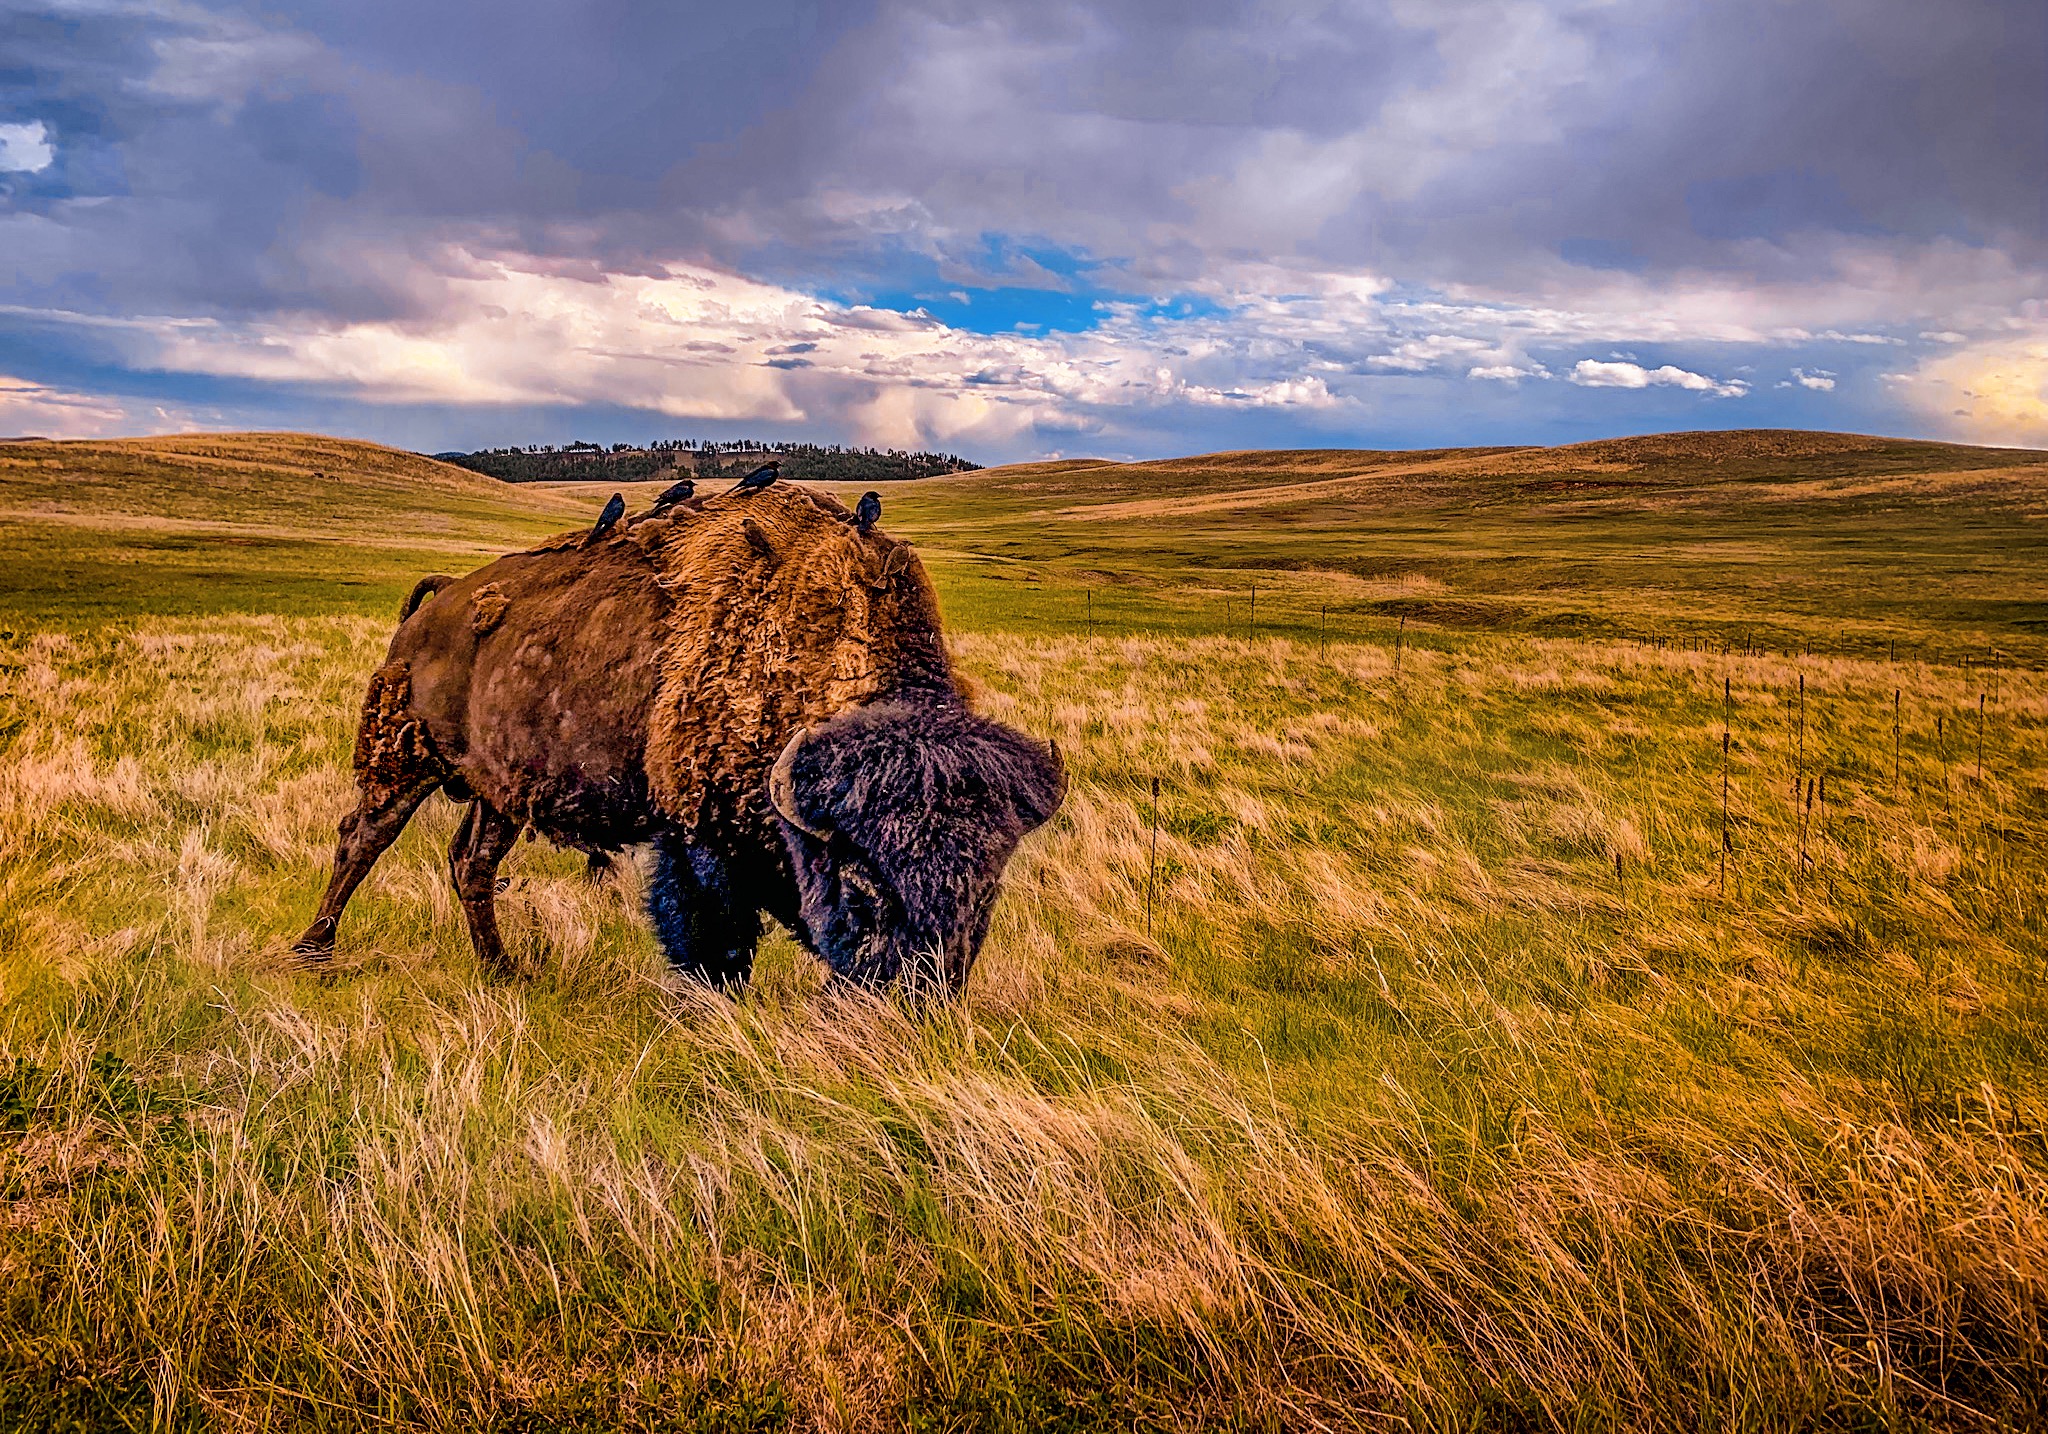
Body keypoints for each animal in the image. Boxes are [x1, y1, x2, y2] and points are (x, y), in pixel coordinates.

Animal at [293, 485, 1065, 992]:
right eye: (861, 880)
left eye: (988, 885)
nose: (921, 993)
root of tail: (438, 602)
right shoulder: (698, 837)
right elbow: (714, 937)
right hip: (403, 759)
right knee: (362, 837)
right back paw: (314, 949)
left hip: (500, 791)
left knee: (470, 864)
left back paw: (504, 970)